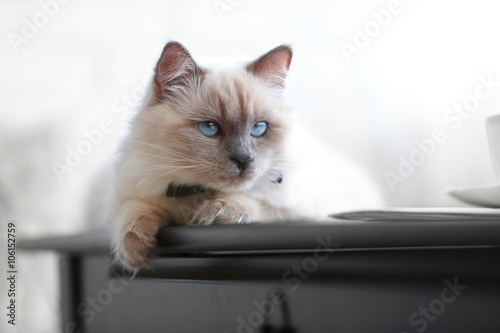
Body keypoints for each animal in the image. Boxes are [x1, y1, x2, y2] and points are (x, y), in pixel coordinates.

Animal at [109, 41, 382, 270]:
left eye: (259, 128)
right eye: (210, 128)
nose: (244, 160)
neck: (195, 196)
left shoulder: (300, 211)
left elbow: (254, 201)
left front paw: (220, 211)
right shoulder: (130, 193)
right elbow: (133, 212)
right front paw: (135, 250)